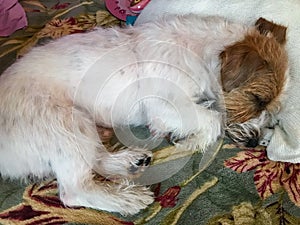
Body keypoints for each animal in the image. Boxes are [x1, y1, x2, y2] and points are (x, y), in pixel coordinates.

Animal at [0, 14, 288, 214]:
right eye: (257, 100)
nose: (253, 141)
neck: (200, 52)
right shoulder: (165, 107)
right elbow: (213, 119)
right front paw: (192, 140)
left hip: (82, 128)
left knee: (97, 159)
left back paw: (130, 162)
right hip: (67, 125)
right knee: (75, 190)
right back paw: (127, 198)